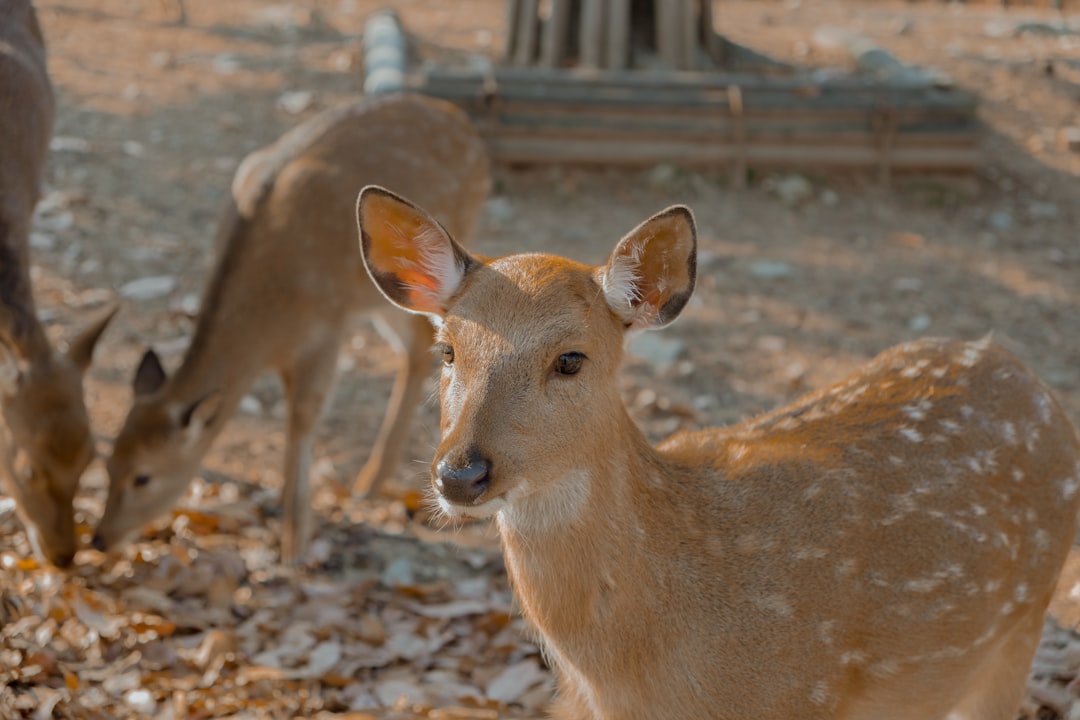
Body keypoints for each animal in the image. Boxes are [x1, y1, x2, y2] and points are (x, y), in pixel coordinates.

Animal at [92, 94, 490, 561]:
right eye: (108, 461)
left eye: (144, 476)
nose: (99, 538)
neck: (271, 324)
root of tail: (465, 125)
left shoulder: (327, 324)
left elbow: (302, 417)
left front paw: (295, 544)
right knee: (415, 348)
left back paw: (369, 482)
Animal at [360, 184, 1080, 720]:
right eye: (448, 351)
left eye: (570, 358)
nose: (460, 474)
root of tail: (1028, 377)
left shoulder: (795, 695)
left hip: (1020, 627)